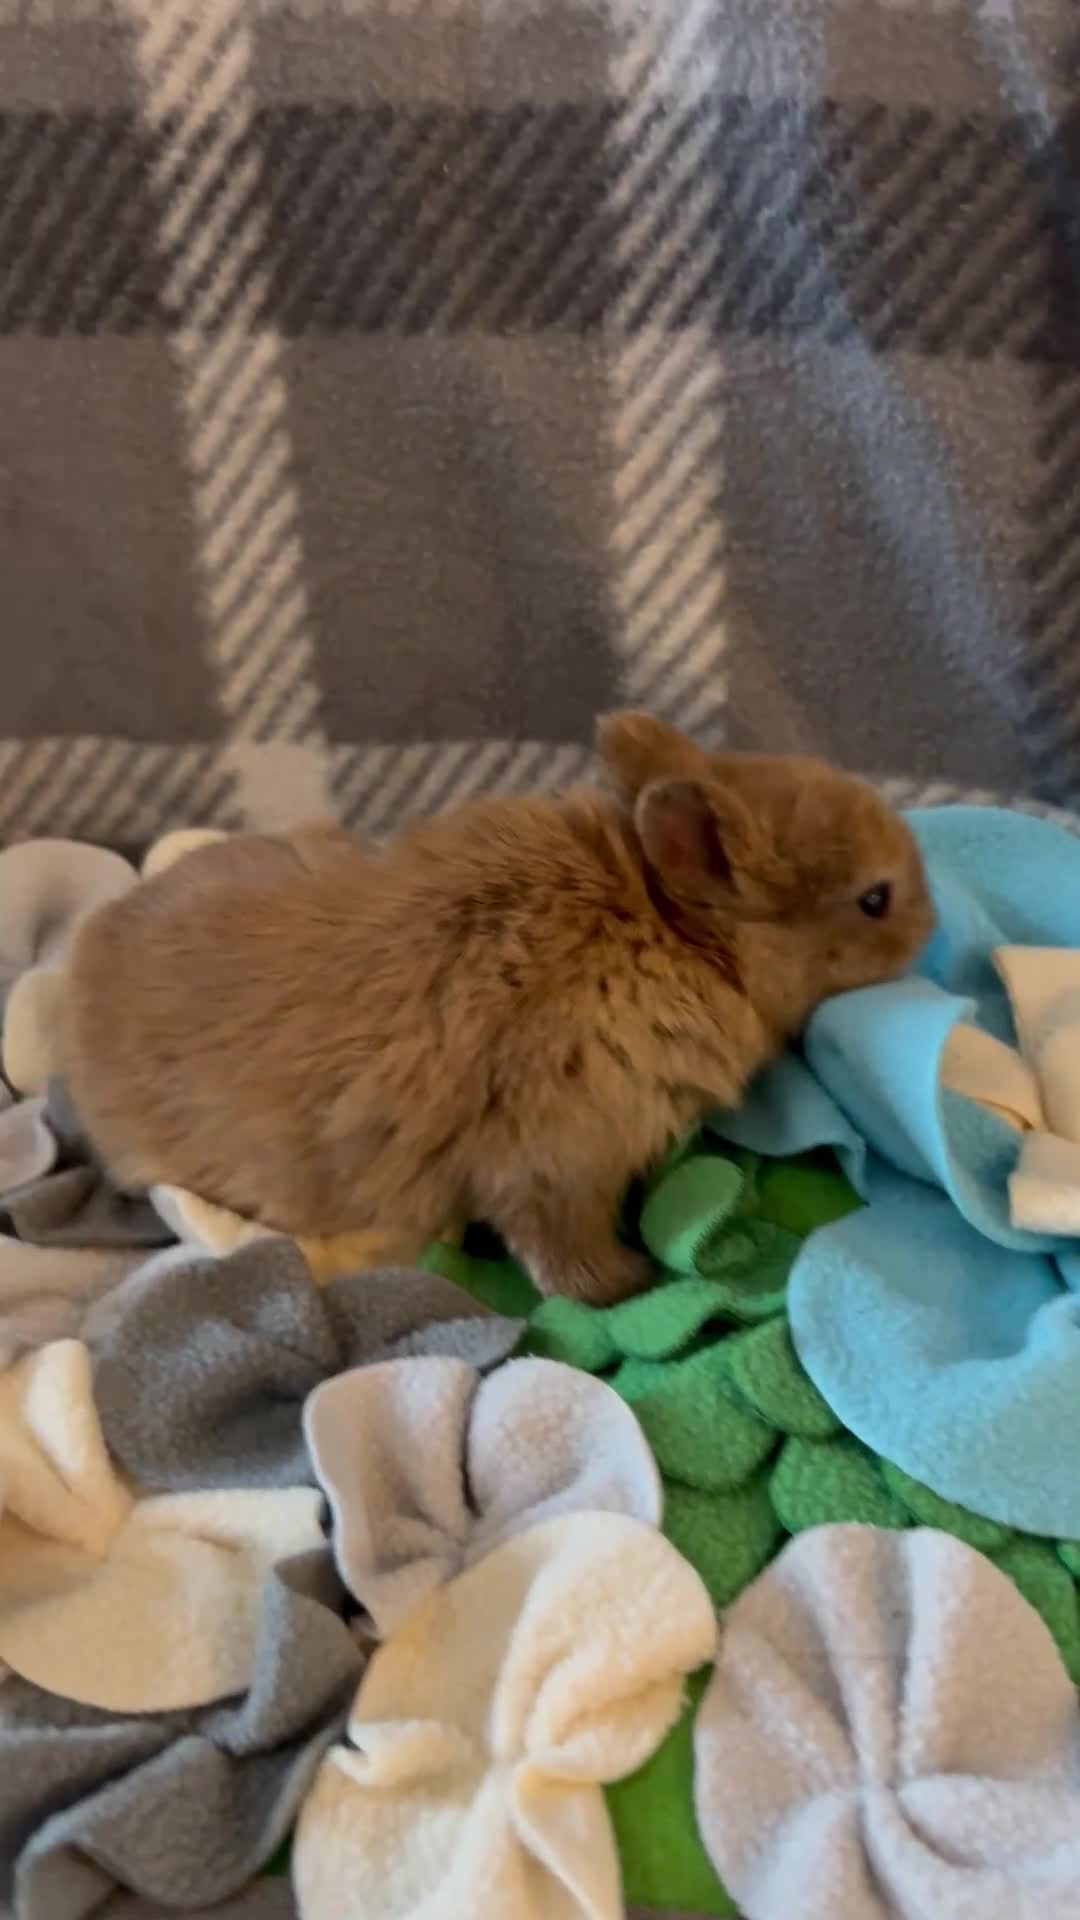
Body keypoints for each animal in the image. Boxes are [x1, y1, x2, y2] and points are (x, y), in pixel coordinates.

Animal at [63, 712, 934, 1304]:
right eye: (875, 899)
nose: (931, 926)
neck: (665, 927)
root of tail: (84, 968)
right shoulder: (557, 1160)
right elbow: (565, 1254)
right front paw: (631, 1282)